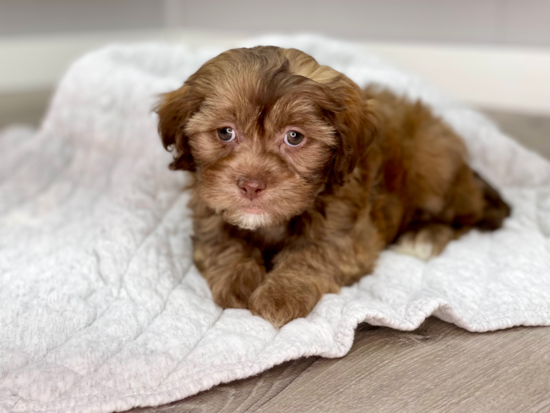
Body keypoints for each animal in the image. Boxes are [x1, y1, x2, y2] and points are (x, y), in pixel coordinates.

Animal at [156, 46, 512, 326]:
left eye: (294, 137)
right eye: (225, 132)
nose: (251, 185)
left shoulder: (349, 235)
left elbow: (314, 255)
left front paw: (280, 294)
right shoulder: (208, 213)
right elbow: (222, 242)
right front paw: (237, 279)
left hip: (430, 163)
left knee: (464, 217)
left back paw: (424, 236)